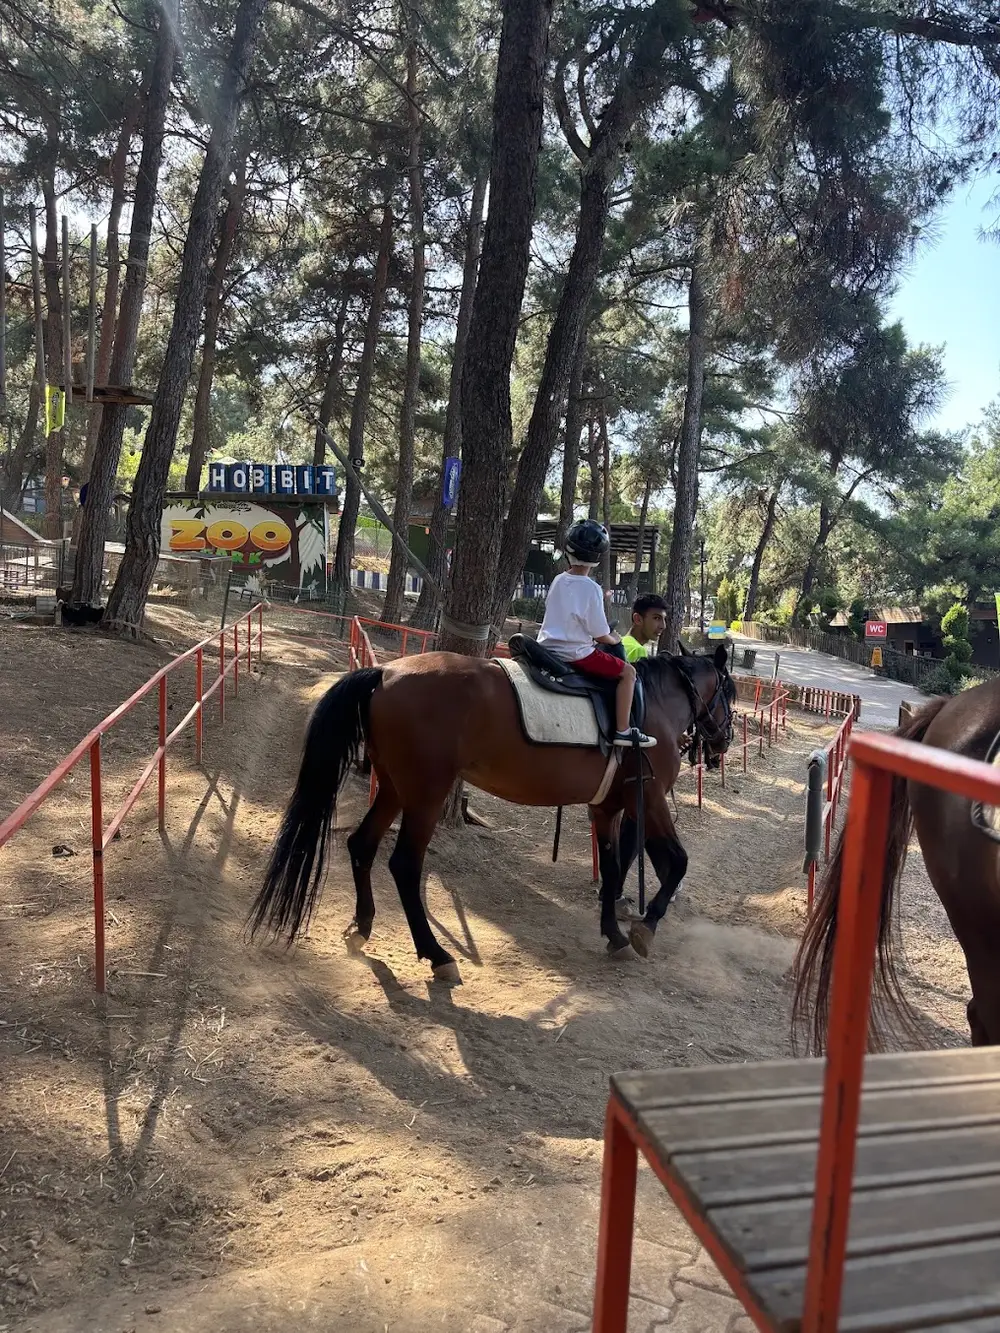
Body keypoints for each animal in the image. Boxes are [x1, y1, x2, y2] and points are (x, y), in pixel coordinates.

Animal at [247, 644, 736, 982]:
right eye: (730, 692)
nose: (724, 740)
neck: (649, 707)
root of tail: (385, 672)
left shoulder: (607, 808)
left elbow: (615, 870)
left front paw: (614, 933)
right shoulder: (649, 799)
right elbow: (678, 861)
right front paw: (645, 927)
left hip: (393, 788)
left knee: (361, 844)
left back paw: (362, 926)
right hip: (425, 795)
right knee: (404, 865)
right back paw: (437, 955)